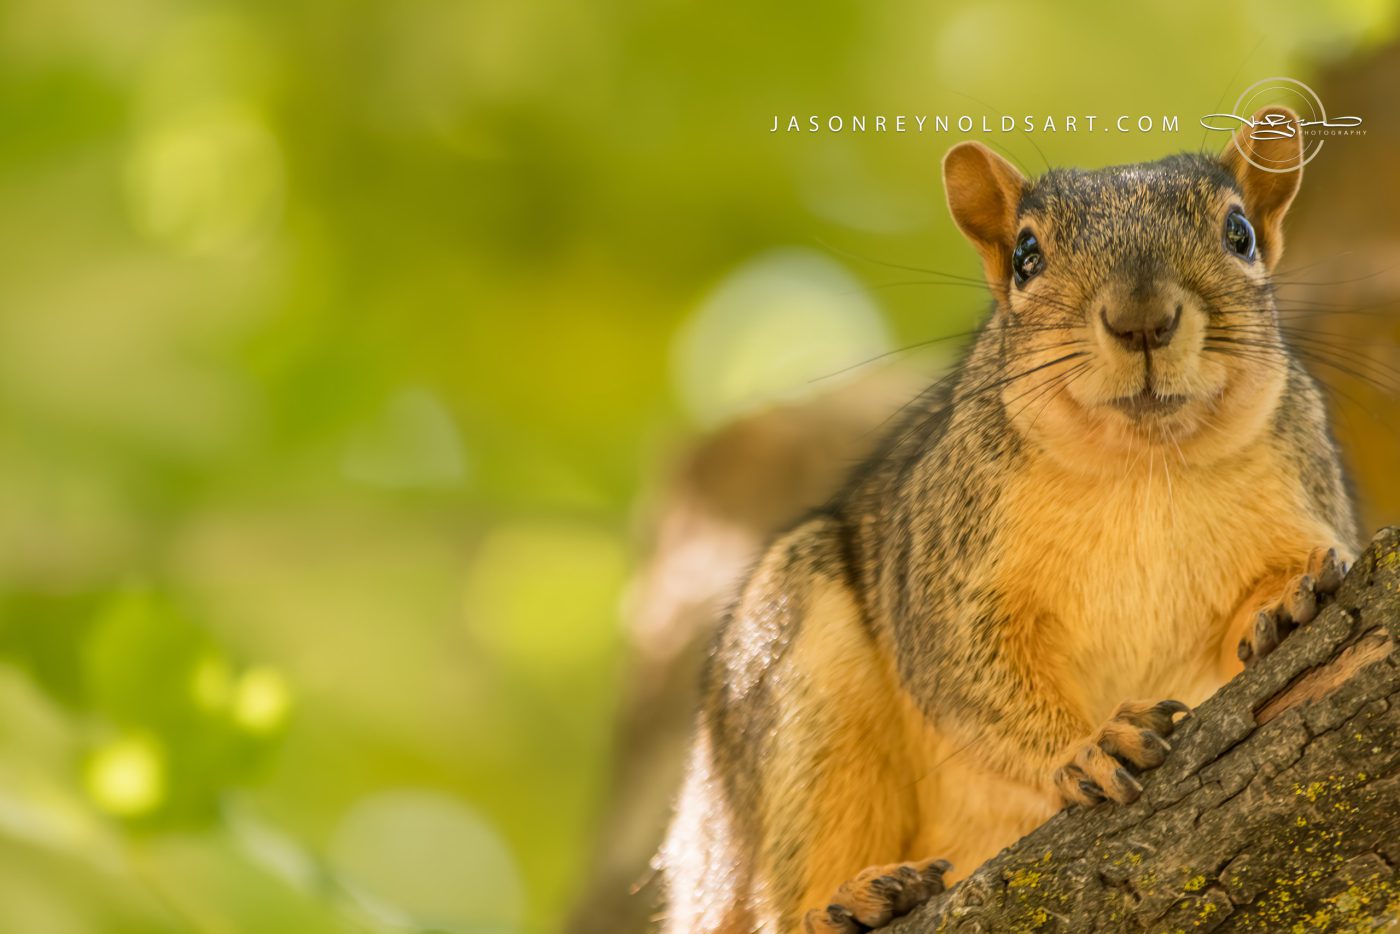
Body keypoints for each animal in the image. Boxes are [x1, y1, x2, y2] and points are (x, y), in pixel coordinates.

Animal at [656, 106, 1360, 934]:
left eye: (1240, 233)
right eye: (1026, 256)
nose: (1141, 319)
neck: (1141, 471)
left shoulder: (1301, 490)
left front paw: (1284, 600)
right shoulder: (948, 569)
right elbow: (970, 675)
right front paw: (1089, 745)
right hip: (793, 698)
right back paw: (855, 900)